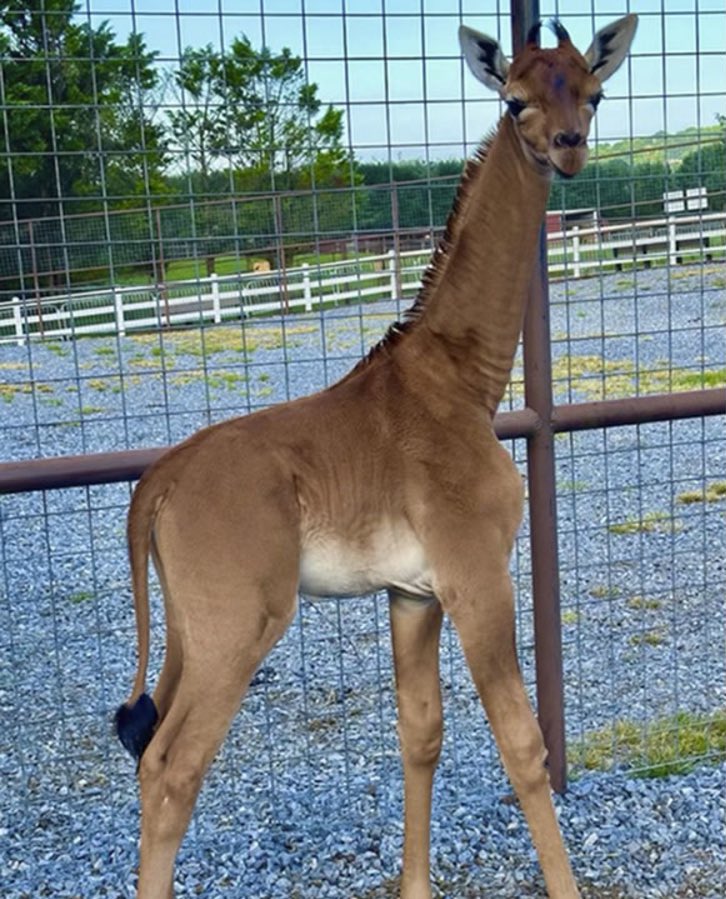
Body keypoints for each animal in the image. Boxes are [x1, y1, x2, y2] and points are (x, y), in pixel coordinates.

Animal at [116, 14, 637, 899]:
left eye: (594, 92)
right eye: (515, 99)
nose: (568, 147)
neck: (463, 381)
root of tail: (158, 481)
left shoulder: (411, 593)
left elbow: (420, 733)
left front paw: (415, 885)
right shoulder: (477, 575)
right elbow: (524, 744)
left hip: (190, 627)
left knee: (151, 751)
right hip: (238, 626)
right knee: (172, 766)